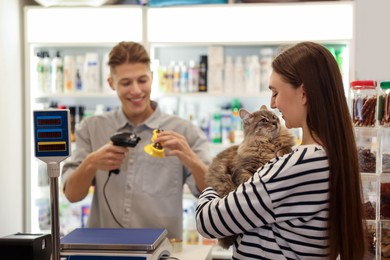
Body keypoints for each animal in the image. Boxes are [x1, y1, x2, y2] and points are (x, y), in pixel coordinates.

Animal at [206, 104, 294, 249]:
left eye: (274, 117)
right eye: (264, 120)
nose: (275, 122)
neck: (267, 143)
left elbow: (285, 148)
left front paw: (280, 152)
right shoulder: (241, 170)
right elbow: (246, 180)